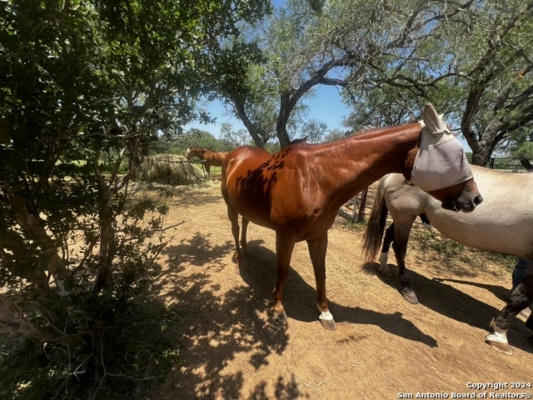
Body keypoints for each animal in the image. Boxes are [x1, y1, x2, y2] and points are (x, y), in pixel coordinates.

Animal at [220, 104, 482, 330]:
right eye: (457, 154)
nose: (475, 199)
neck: (314, 177)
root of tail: (234, 155)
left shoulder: (319, 236)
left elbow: (321, 271)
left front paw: (325, 312)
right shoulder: (285, 236)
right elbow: (282, 270)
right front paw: (276, 309)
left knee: (245, 224)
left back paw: (245, 249)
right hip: (230, 206)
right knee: (235, 228)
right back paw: (238, 257)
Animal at [362, 166, 532, 354]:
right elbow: (522, 298)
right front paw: (500, 336)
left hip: (406, 217)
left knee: (389, 236)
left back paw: (384, 268)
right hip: (405, 216)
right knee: (399, 248)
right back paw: (407, 289)